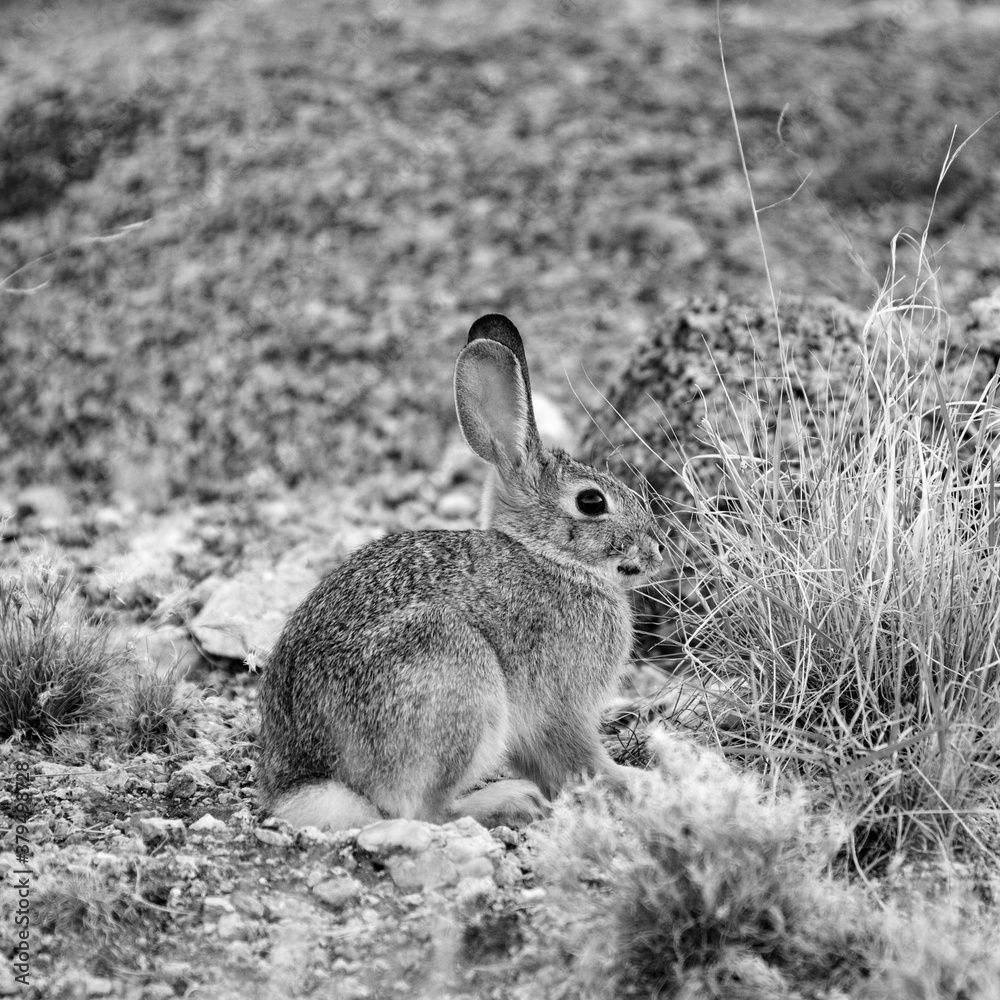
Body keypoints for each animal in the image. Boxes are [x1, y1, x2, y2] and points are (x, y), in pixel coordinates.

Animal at [255, 314, 664, 831]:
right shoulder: (561, 705)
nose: (657, 549)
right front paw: (631, 785)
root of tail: (306, 785)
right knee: (427, 810)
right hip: (456, 680)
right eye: (592, 502)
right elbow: (582, 759)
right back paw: (510, 801)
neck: (548, 557)